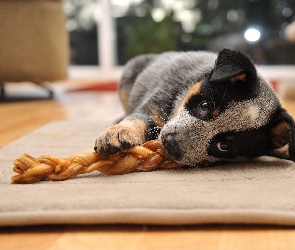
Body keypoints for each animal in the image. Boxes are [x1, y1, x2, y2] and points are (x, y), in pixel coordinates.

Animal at [94, 48, 295, 167]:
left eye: (224, 145)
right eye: (205, 105)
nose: (171, 143)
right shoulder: (153, 108)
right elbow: (136, 119)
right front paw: (117, 133)